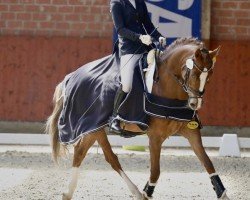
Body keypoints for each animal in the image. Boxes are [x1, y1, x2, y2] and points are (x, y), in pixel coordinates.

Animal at [45, 37, 229, 198]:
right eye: (193, 73)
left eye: (210, 75)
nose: (194, 103)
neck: (168, 88)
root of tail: (71, 77)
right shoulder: (155, 137)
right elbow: (155, 172)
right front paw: (147, 193)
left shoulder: (191, 132)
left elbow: (208, 164)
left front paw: (222, 194)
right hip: (92, 126)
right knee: (96, 156)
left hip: (94, 128)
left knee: (91, 155)